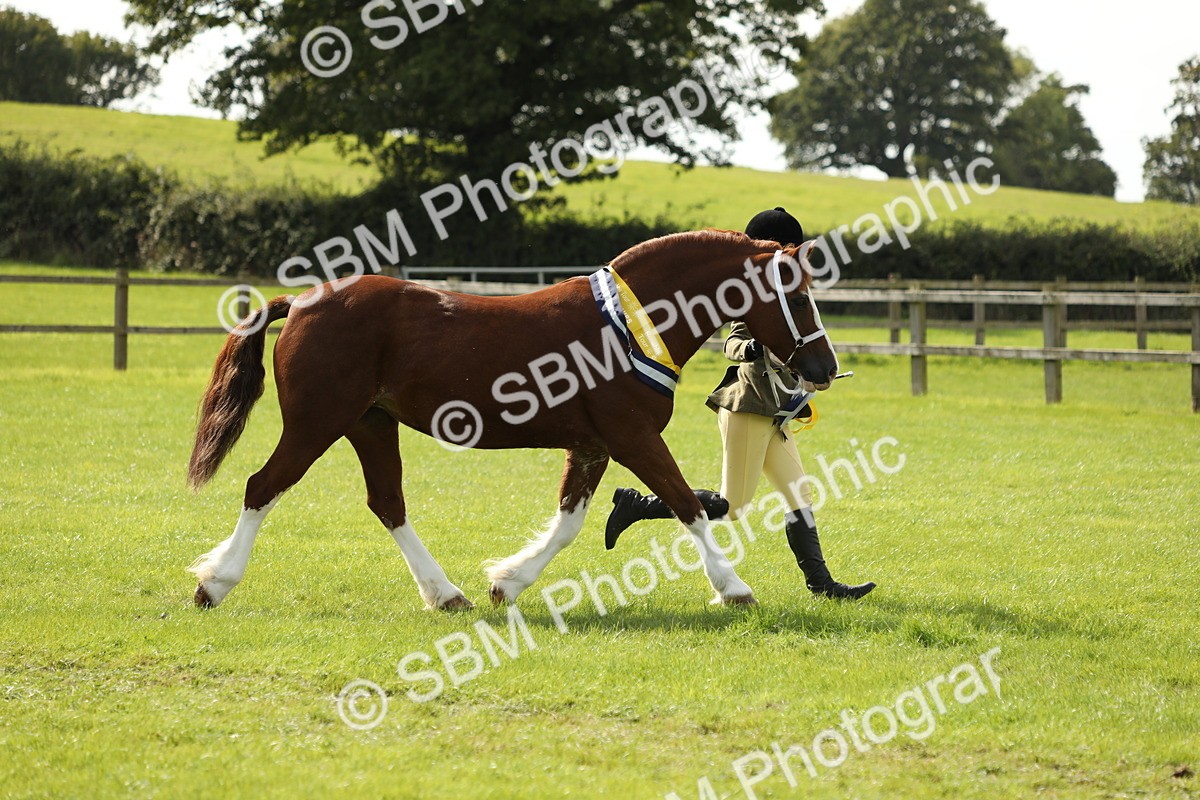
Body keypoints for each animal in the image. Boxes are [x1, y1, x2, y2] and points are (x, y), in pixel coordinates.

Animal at [185, 229, 839, 610]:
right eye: (797, 295)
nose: (824, 367)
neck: (632, 324)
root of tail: (300, 302)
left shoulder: (595, 444)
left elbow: (571, 521)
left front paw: (508, 581)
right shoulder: (634, 437)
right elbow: (689, 506)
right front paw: (734, 589)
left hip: (369, 424)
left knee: (387, 504)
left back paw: (446, 594)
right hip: (316, 423)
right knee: (262, 487)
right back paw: (214, 584)